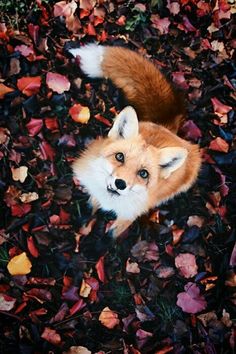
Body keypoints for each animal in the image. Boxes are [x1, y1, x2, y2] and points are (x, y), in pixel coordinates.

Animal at [70, 44, 201, 238]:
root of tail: (166, 127)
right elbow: (91, 207)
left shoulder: (127, 216)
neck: (109, 201)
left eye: (143, 173)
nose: (120, 184)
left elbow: (113, 234)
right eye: (119, 157)